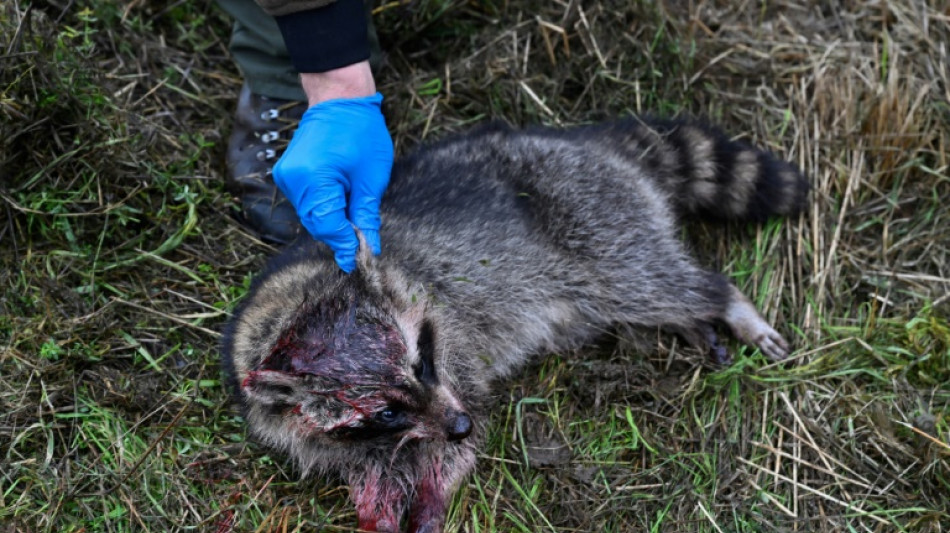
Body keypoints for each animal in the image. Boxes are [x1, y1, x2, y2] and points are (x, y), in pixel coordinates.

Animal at [221, 117, 812, 532]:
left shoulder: (453, 338)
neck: (295, 291)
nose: (457, 424)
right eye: (385, 410)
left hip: (595, 217)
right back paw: (692, 322)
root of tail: (585, 144)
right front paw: (385, 502)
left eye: (422, 362)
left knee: (650, 281)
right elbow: (372, 466)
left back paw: (725, 303)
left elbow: (470, 421)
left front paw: (436, 492)